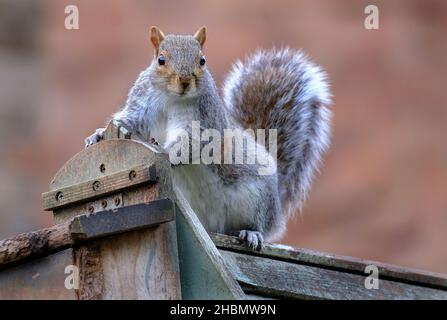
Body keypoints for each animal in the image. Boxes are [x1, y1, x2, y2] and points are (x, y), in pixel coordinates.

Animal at [85, 26, 332, 250]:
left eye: (202, 61)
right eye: (161, 60)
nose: (185, 81)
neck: (171, 97)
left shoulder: (204, 119)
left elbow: (193, 142)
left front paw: (167, 153)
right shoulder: (141, 104)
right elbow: (130, 121)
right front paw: (98, 135)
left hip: (258, 197)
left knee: (260, 224)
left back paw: (251, 233)